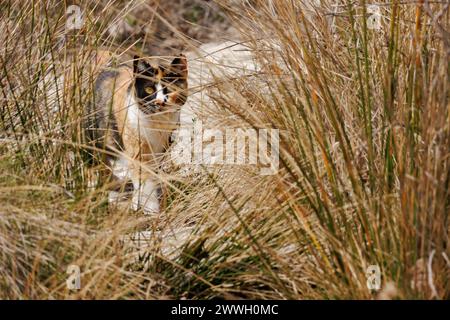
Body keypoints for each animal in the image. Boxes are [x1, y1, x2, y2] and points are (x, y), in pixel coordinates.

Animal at [85, 51, 187, 214]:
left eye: (169, 89)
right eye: (149, 89)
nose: (159, 102)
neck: (156, 124)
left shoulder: (162, 149)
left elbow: (151, 177)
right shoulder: (137, 150)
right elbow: (143, 179)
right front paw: (150, 208)